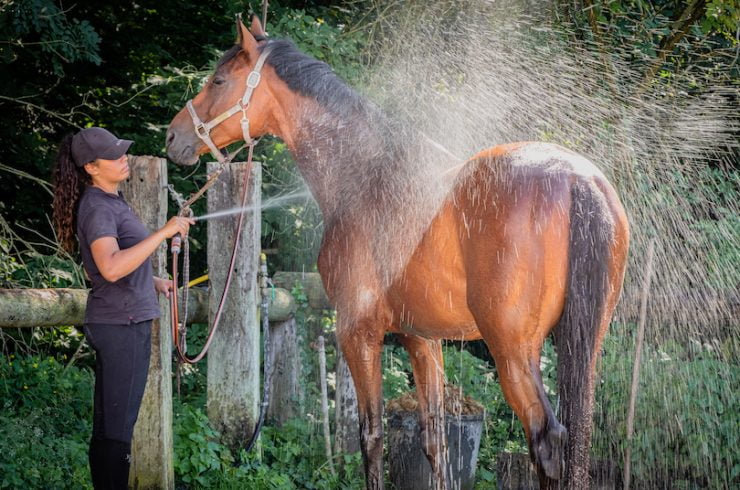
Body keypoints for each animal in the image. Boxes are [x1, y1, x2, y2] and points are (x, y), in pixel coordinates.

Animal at [168, 17, 632, 488]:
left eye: (219, 80)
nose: (173, 136)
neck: (365, 178)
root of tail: (575, 178)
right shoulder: (422, 339)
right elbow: (435, 442)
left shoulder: (357, 334)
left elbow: (370, 437)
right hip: (582, 347)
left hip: (513, 352)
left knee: (547, 441)